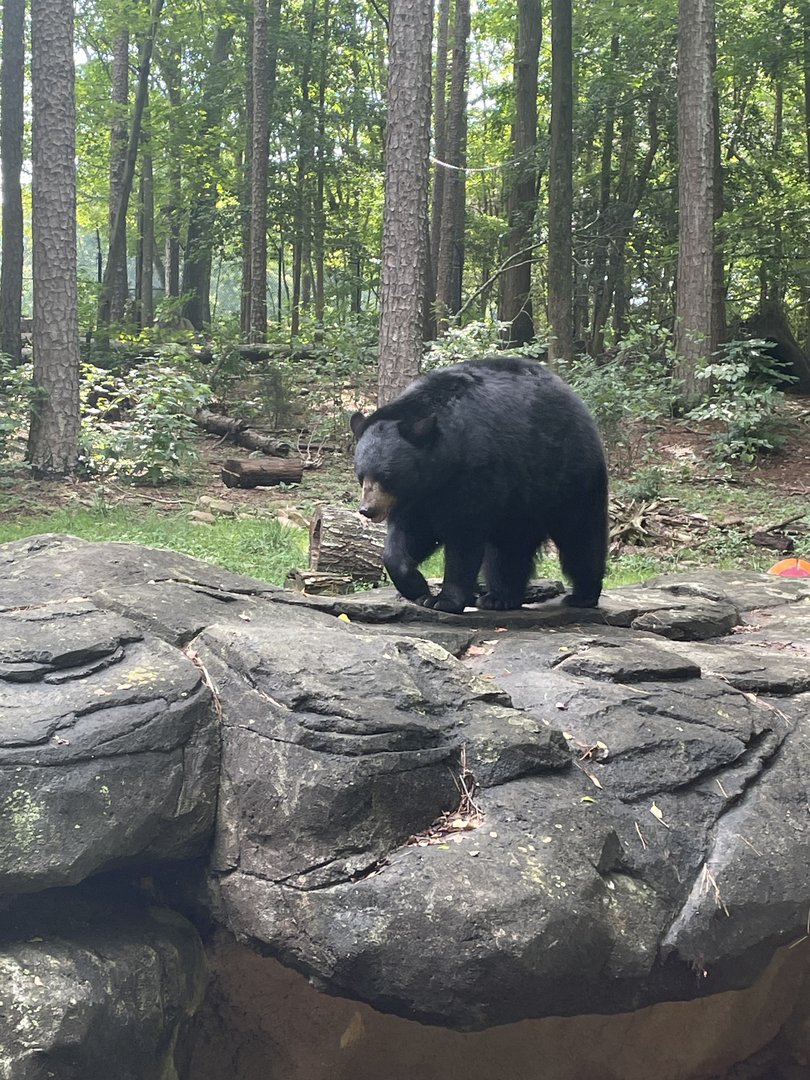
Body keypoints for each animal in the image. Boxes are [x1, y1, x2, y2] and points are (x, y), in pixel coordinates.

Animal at [350, 356, 608, 614]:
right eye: (362, 475)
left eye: (386, 476)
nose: (368, 509)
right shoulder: (417, 496)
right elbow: (407, 536)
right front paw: (416, 585)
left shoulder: (475, 472)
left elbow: (463, 536)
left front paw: (444, 600)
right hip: (520, 498)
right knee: (510, 546)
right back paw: (500, 597)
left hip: (566, 474)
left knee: (579, 533)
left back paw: (582, 595)